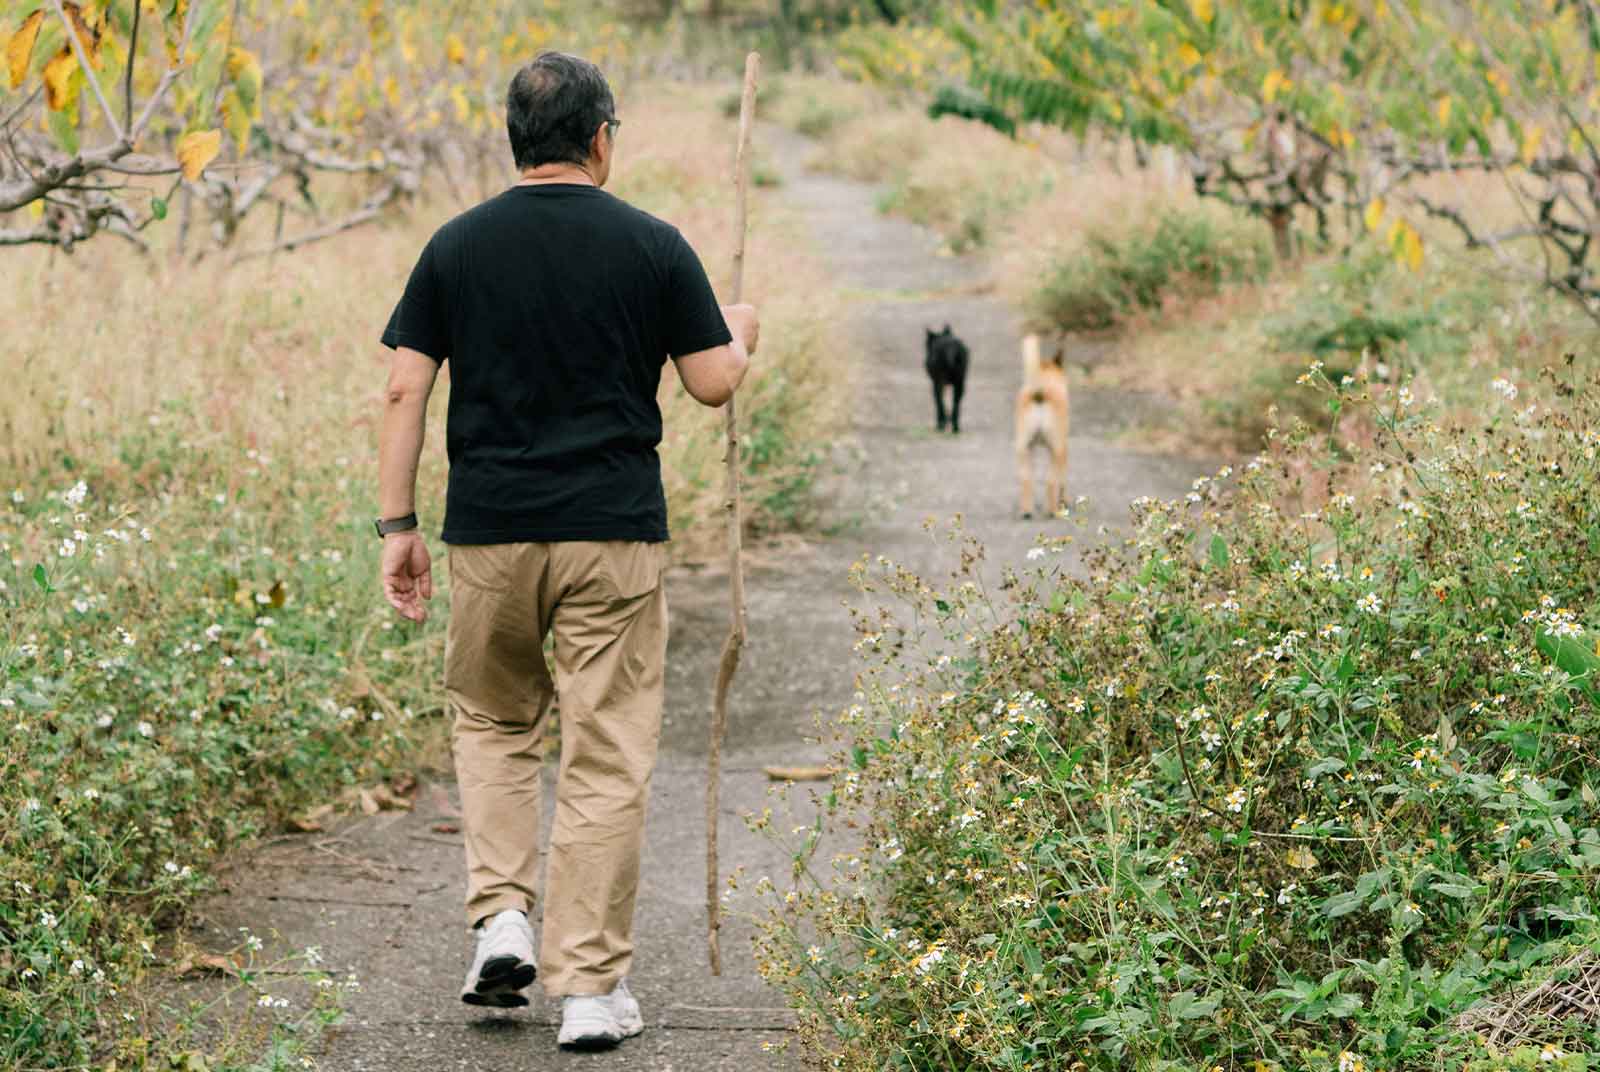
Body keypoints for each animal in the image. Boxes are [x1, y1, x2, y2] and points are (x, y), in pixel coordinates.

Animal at [1017, 336, 1068, 521]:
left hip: (1023, 449)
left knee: (1026, 480)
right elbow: (1062, 480)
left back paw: (1026, 511)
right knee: (1051, 481)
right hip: (1056, 449)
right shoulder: (1063, 447)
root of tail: (1040, 393)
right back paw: (1053, 511)